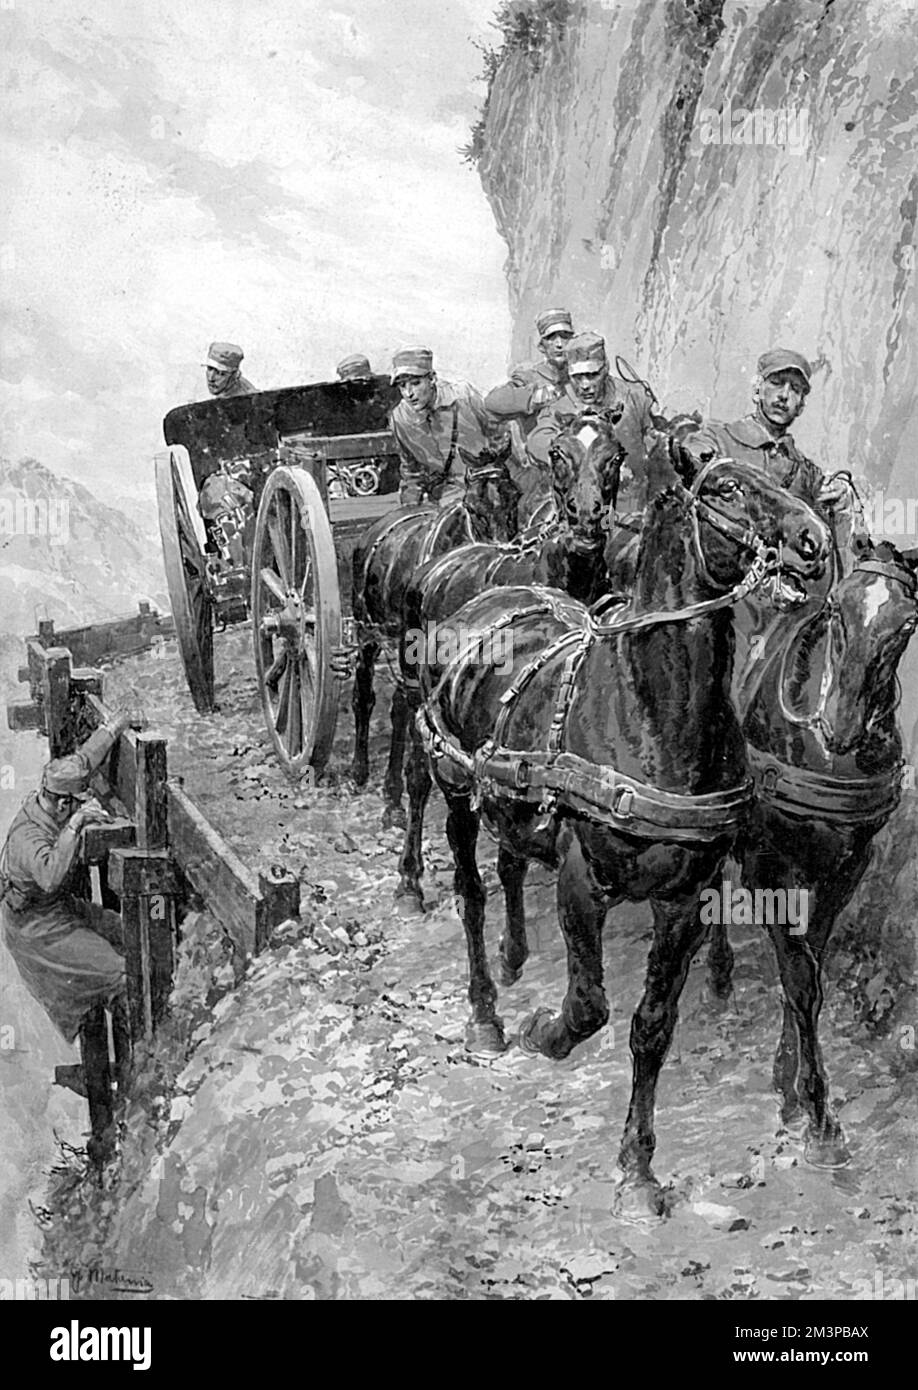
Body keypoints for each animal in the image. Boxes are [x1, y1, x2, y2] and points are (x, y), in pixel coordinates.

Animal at [347, 439, 520, 817]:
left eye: (514, 495)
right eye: (474, 506)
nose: (505, 554)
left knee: (398, 708)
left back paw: (392, 795)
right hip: (369, 633)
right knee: (365, 696)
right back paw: (359, 772)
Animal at [408, 453, 834, 1217]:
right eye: (726, 489)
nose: (813, 541)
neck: (652, 717)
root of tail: (487, 596)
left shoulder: (685, 902)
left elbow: (651, 1026)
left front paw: (637, 1166)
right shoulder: (583, 883)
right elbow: (587, 1007)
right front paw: (542, 1033)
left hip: (512, 809)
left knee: (510, 864)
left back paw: (513, 959)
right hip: (455, 787)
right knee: (470, 893)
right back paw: (487, 1012)